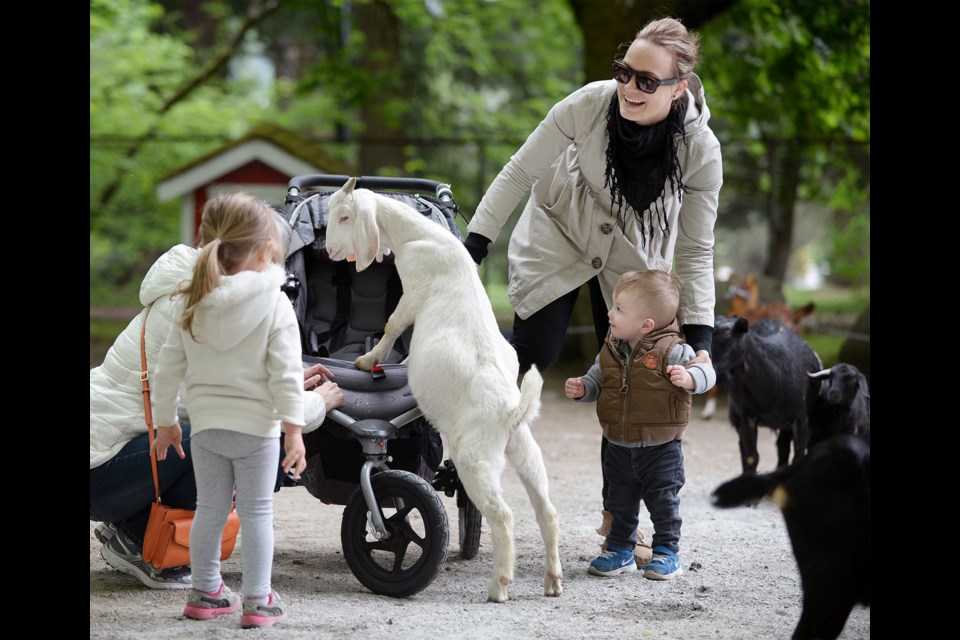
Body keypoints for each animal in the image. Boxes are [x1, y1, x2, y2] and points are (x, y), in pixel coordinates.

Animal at [326, 178, 564, 604]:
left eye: (344, 216)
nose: (331, 250)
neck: (420, 236)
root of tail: (510, 411)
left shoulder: (414, 291)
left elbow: (392, 324)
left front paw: (369, 360)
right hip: (525, 451)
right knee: (546, 510)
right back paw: (553, 581)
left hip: (475, 460)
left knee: (503, 514)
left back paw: (499, 586)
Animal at [708, 316, 820, 476]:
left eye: (728, 335)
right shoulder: (747, 417)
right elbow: (751, 457)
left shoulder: (801, 419)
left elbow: (798, 457)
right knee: (745, 448)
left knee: (782, 448)